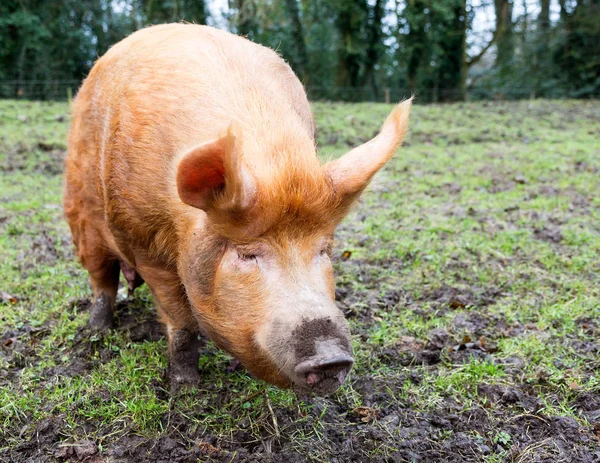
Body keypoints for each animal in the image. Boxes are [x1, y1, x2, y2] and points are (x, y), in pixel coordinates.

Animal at [65, 22, 412, 396]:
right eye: (247, 254)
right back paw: (94, 332)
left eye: (323, 250)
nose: (330, 358)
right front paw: (185, 388)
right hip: (82, 214)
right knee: (101, 280)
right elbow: (180, 321)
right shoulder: (144, 239)